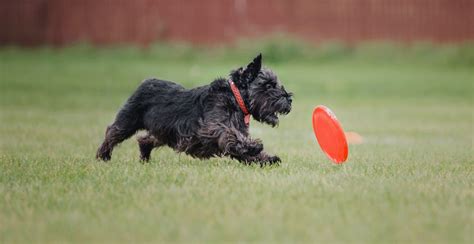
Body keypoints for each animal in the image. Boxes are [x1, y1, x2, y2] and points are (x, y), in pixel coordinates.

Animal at [95, 54, 290, 165]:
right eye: (269, 85)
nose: (289, 99)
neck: (235, 98)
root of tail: (145, 82)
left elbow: (237, 148)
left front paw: (265, 158)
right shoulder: (211, 128)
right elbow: (230, 136)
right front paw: (254, 147)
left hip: (163, 133)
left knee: (145, 139)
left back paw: (145, 159)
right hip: (128, 121)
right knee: (112, 132)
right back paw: (102, 156)